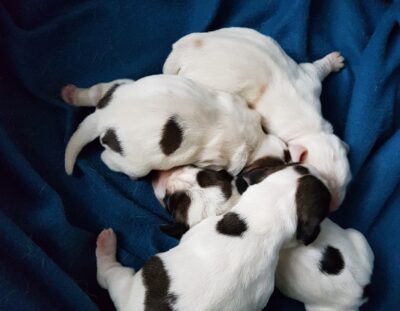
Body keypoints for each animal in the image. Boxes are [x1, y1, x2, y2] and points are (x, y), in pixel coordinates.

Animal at [61, 74, 288, 179]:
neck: (256, 142)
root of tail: (102, 116)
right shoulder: (217, 160)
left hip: (122, 84)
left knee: (98, 91)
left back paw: (72, 94)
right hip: (135, 165)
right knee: (107, 159)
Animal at [95, 165, 330, 310]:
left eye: (169, 203)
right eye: (204, 169)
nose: (160, 174)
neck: (258, 220)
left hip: (126, 285)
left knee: (109, 275)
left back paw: (105, 243)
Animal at [162, 27, 350, 212]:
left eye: (347, 182)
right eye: (321, 178)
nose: (333, 208)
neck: (311, 129)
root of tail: (180, 50)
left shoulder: (310, 81)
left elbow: (317, 68)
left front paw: (334, 61)